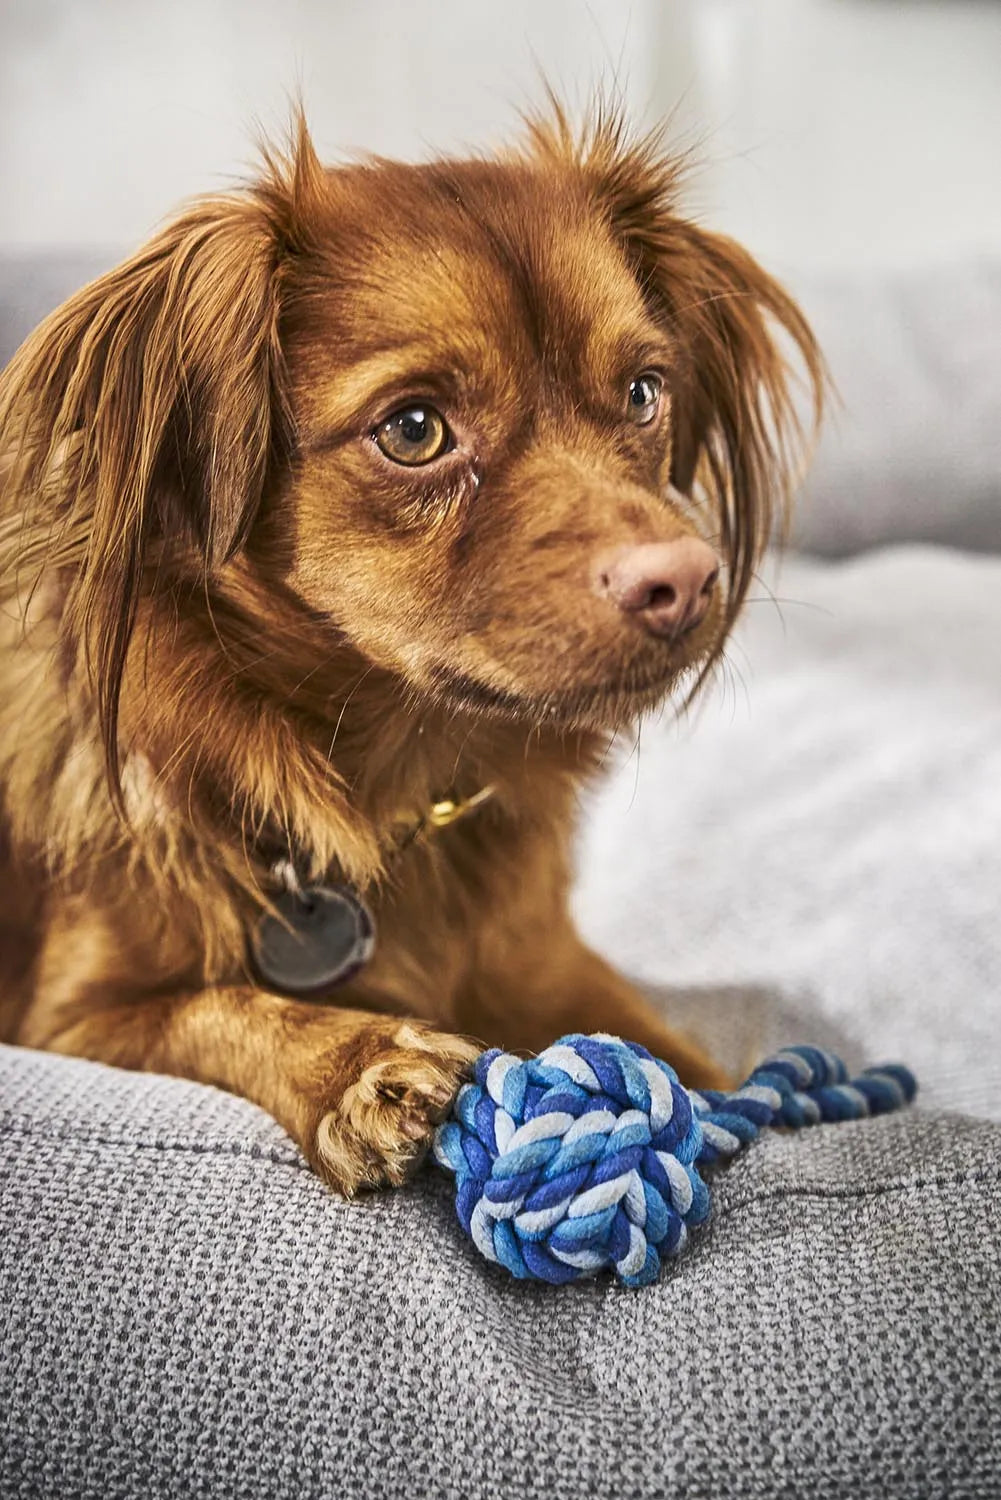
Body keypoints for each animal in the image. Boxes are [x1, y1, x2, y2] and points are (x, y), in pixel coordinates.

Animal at [0, 108, 822, 1194]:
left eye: (645, 393)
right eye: (415, 428)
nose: (684, 579)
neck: (396, 771)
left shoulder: (542, 960)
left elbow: (699, 1064)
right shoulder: (67, 1015)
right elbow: (211, 1006)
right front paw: (359, 1062)